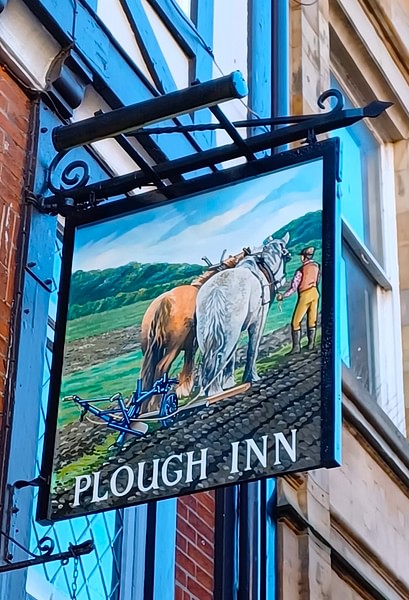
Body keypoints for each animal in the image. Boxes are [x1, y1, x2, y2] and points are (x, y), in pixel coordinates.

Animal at [195, 232, 288, 396]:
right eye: (287, 257)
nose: (283, 280)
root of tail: (216, 292)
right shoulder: (258, 320)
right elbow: (252, 349)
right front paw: (251, 377)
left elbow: (232, 357)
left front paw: (229, 382)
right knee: (219, 357)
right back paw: (214, 392)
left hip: (206, 334)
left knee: (209, 360)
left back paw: (207, 391)